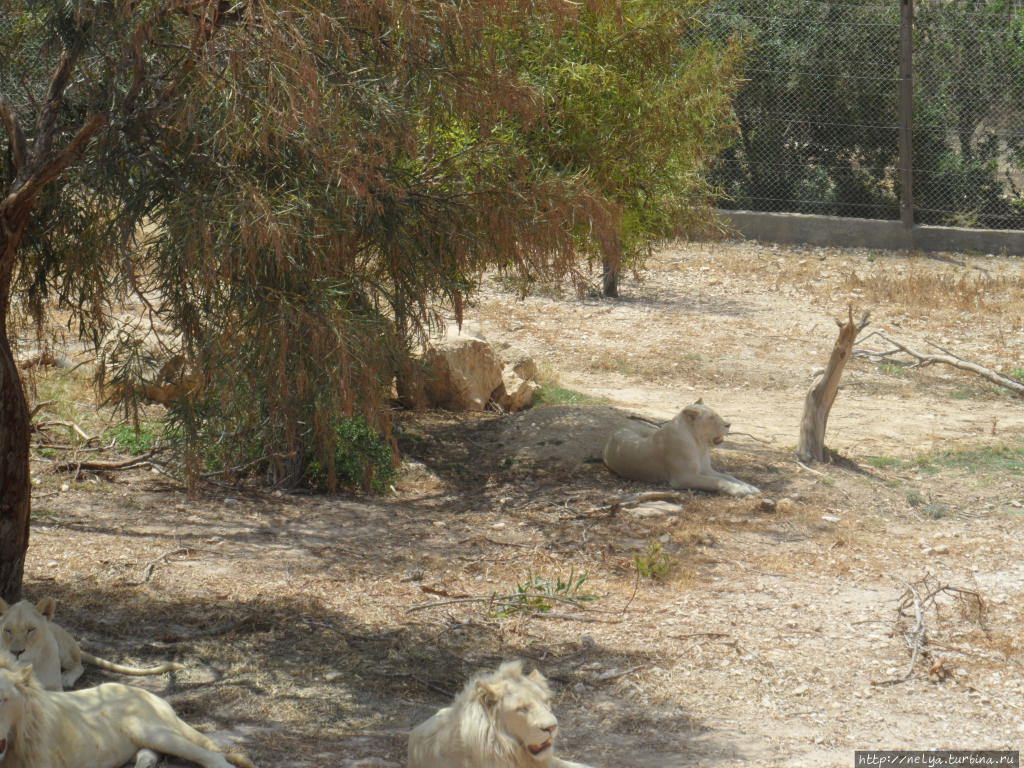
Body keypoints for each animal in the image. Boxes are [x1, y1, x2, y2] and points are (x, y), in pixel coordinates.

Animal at [0, 598, 182, 696]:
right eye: (7, 630)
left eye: (31, 629)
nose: (16, 652)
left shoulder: (54, 687)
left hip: (64, 649)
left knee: (79, 665)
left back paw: (68, 677)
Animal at [598, 399, 761, 501]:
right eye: (711, 418)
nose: (729, 424)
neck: (700, 445)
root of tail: (617, 430)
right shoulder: (684, 477)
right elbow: (716, 481)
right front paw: (739, 490)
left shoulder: (706, 470)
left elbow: (728, 476)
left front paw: (749, 487)